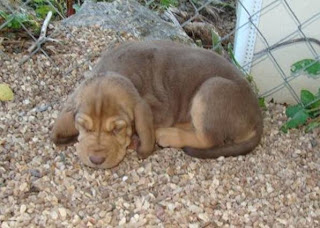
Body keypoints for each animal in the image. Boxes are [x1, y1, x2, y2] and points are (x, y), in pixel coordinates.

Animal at [52, 40, 262, 168]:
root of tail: (258, 117)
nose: (96, 160)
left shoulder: (160, 109)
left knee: (208, 139)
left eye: (118, 129)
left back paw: (168, 135)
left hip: (211, 90)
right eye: (83, 126)